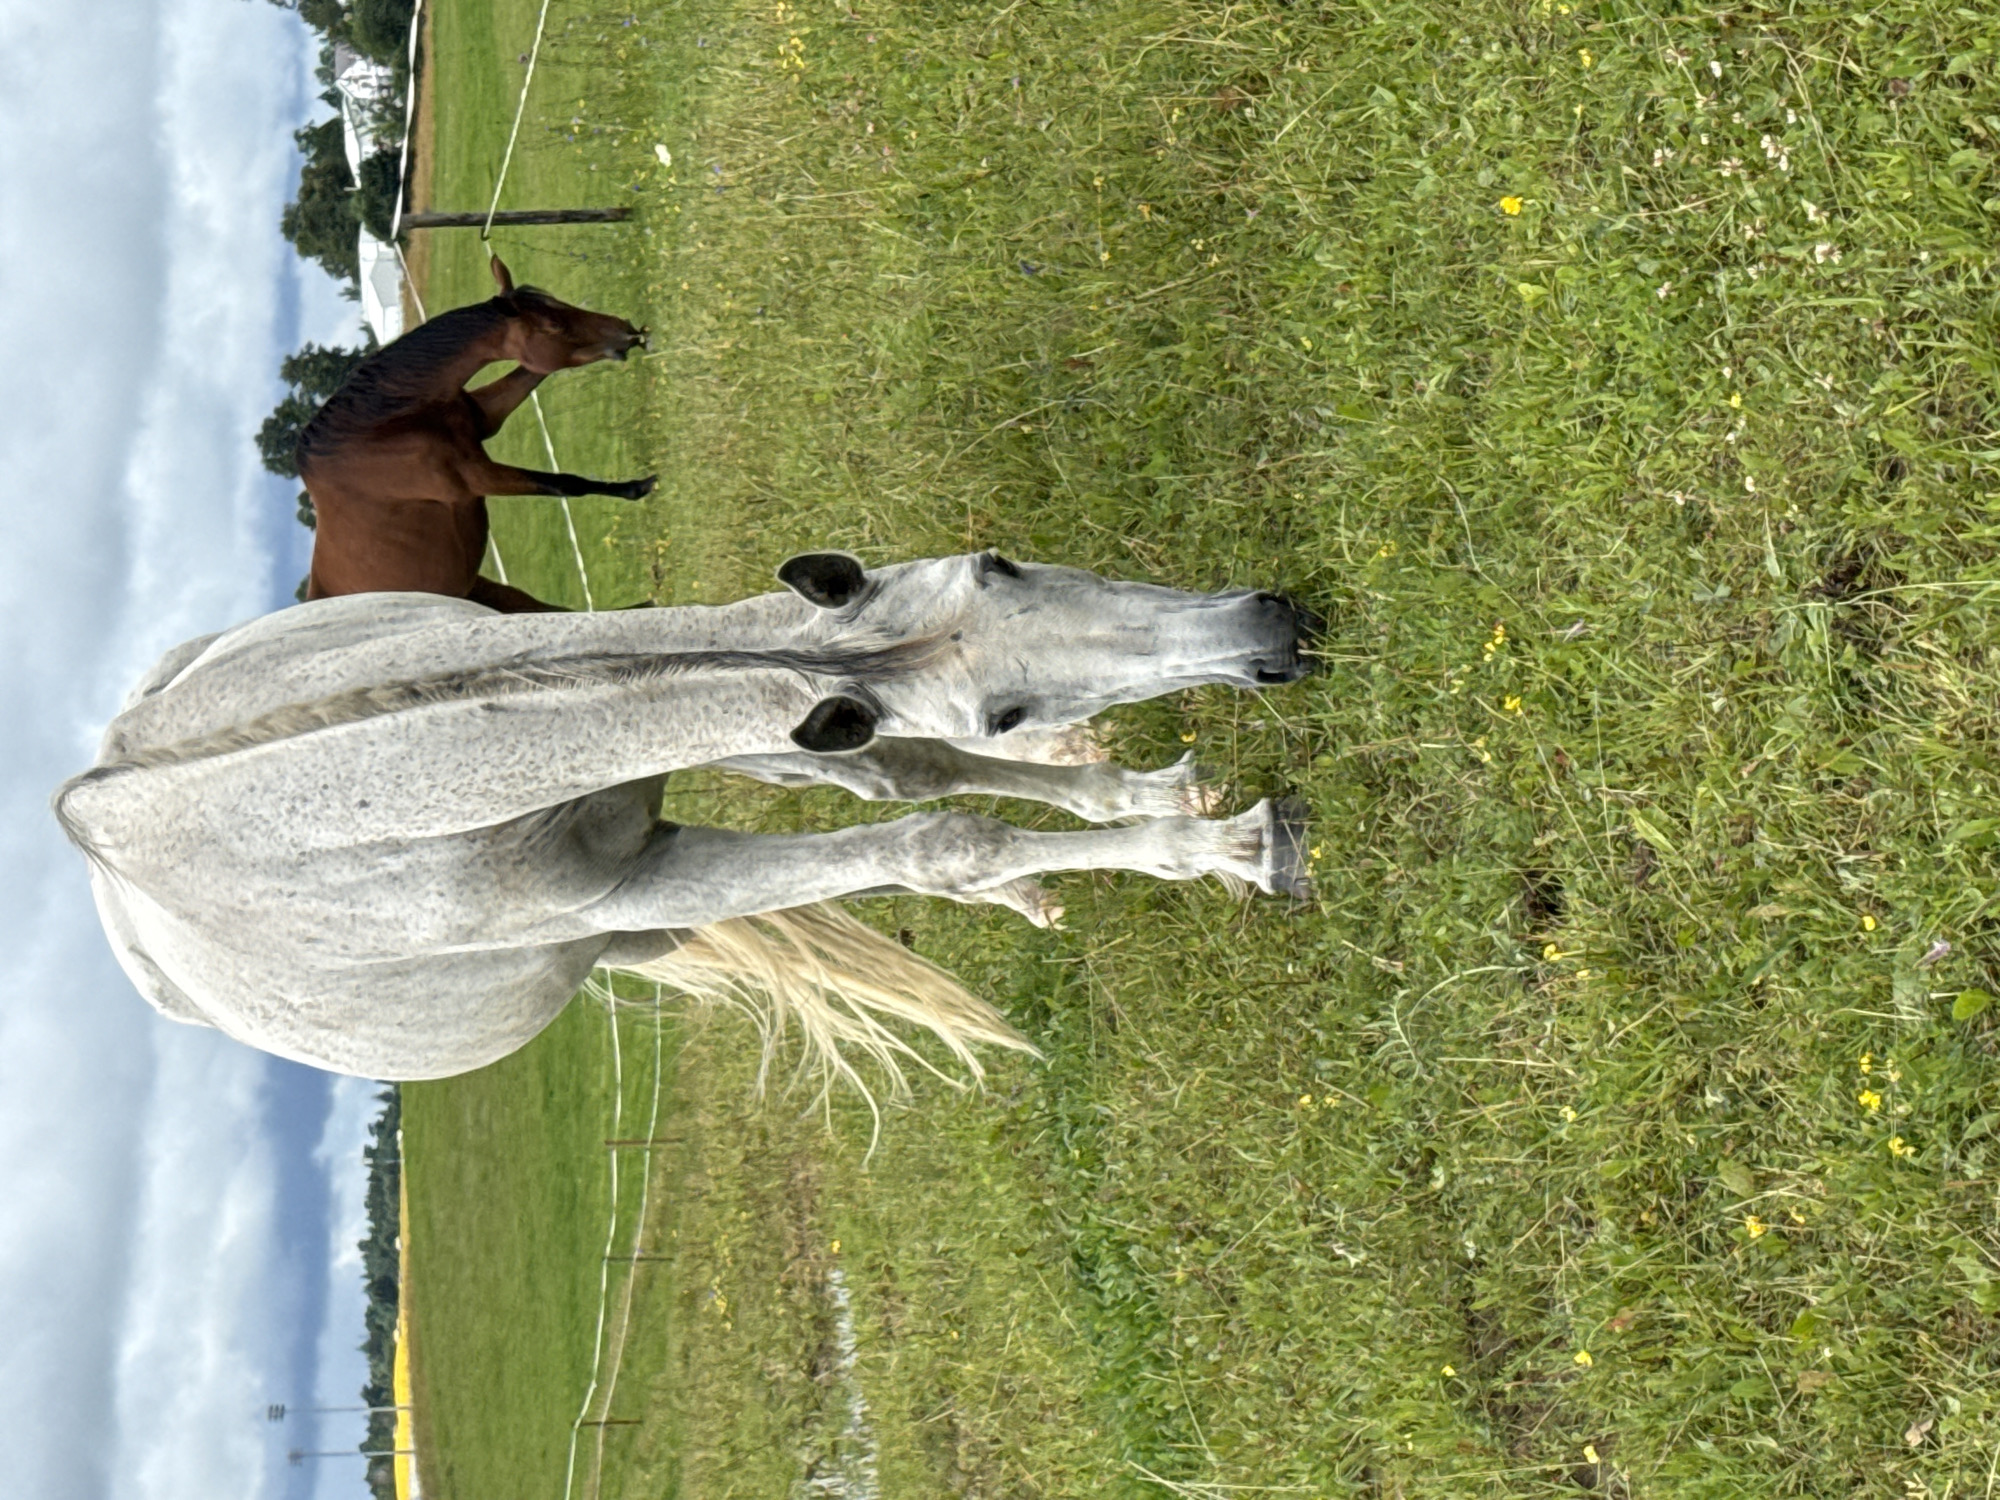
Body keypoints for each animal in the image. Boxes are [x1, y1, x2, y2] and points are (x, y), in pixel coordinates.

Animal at [55, 551, 1314, 1100]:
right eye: (997, 703)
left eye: (998, 562)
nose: (1273, 632)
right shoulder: (651, 880)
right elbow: (933, 840)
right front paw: (1236, 849)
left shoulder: (753, 732)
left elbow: (903, 778)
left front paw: (1145, 804)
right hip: (623, 936)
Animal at [297, 257, 654, 614]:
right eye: (553, 325)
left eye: (560, 303)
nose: (627, 331)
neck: (381, 427)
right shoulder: (476, 477)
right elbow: (566, 484)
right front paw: (638, 487)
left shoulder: (485, 418)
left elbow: (532, 374)